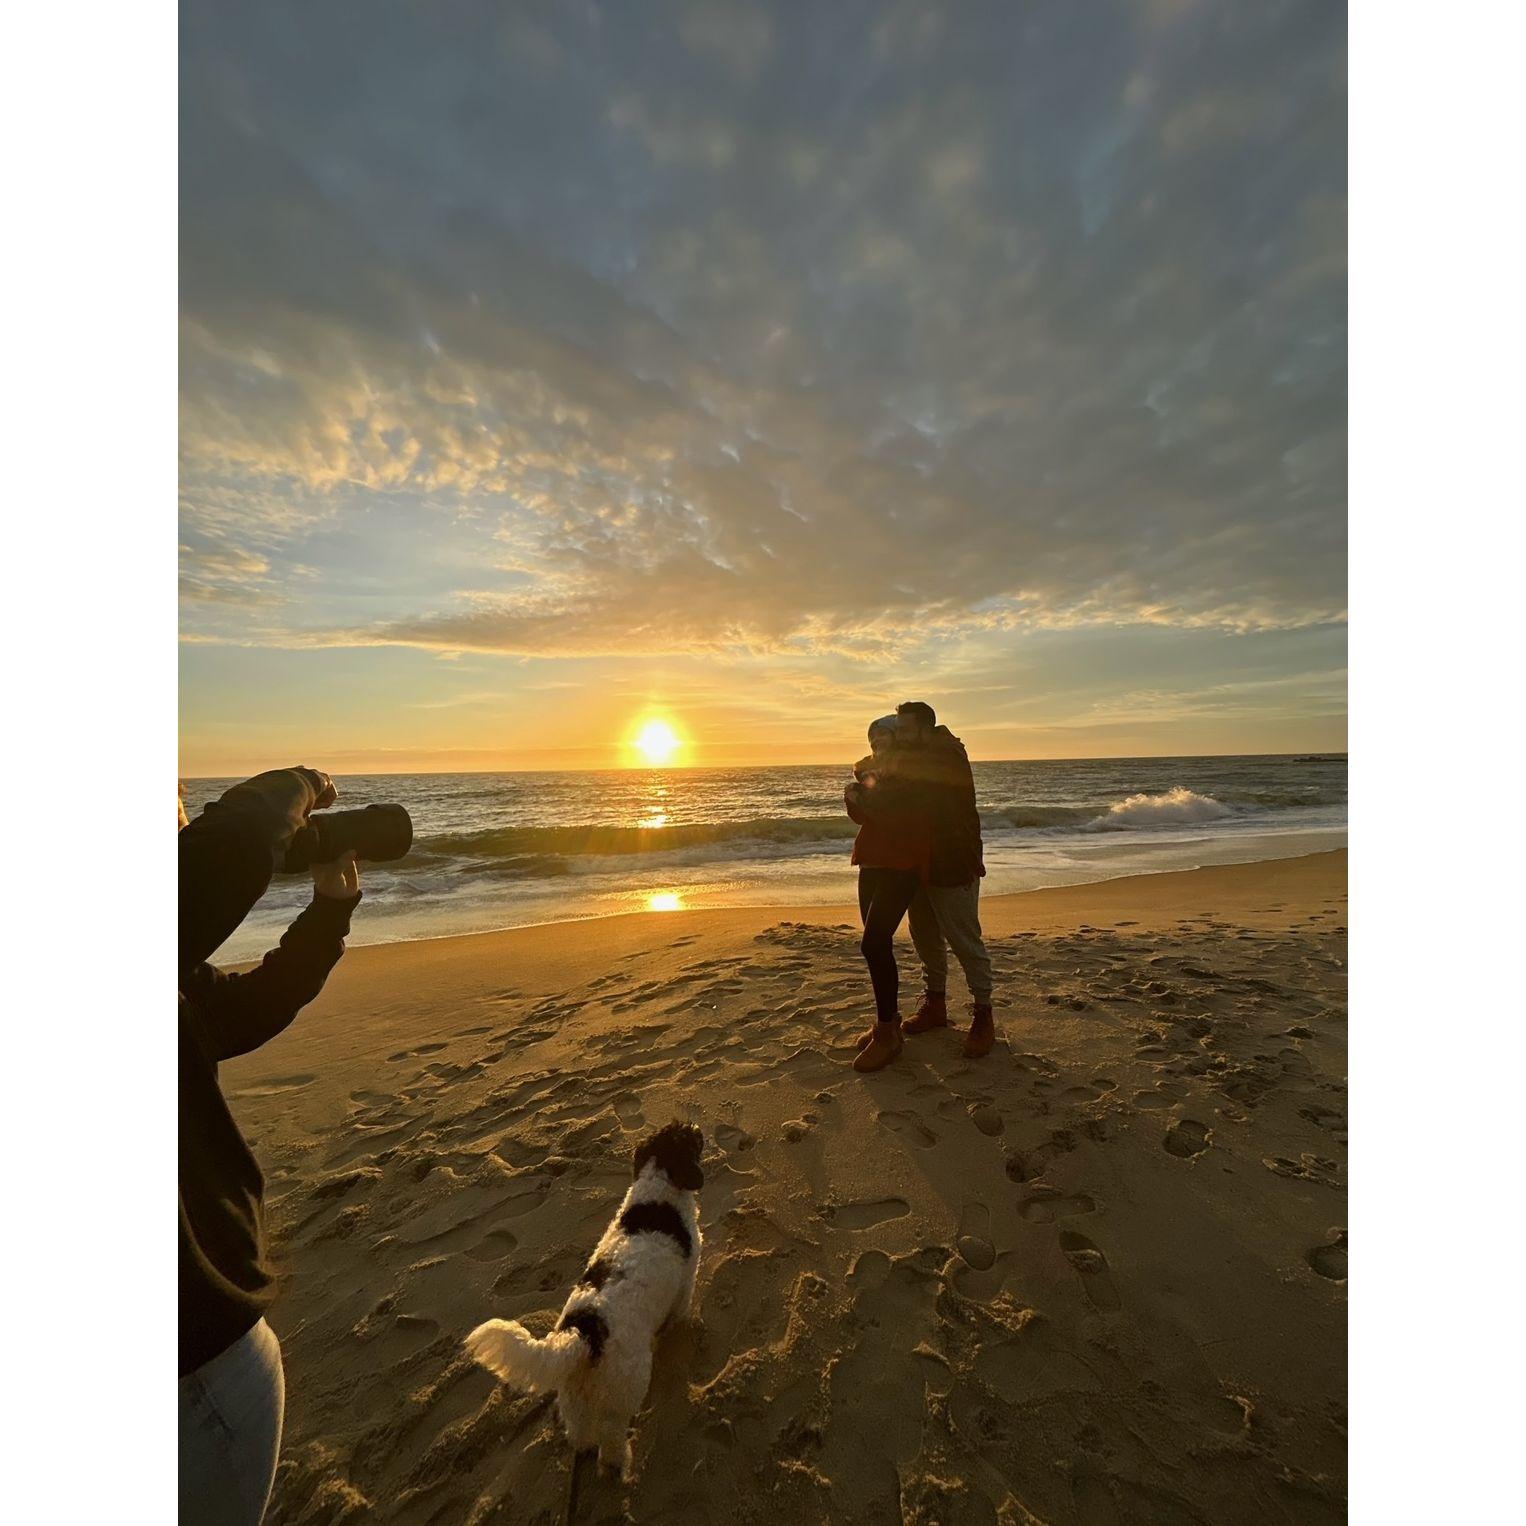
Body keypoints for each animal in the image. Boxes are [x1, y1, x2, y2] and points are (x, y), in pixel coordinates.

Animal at [464, 1120, 705, 1476]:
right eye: (689, 1136)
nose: (700, 1128)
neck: (658, 1189)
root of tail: (584, 1333)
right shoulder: (686, 1280)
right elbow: (681, 1310)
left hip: (574, 1399)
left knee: (581, 1434)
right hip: (624, 1388)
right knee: (612, 1437)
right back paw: (621, 1464)